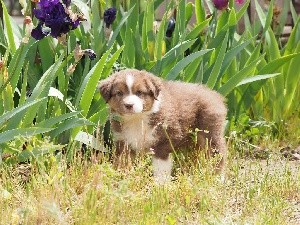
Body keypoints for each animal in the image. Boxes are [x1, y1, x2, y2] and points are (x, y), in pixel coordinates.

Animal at [98, 68, 227, 183]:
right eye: (119, 93)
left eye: (139, 92)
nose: (129, 105)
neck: (137, 119)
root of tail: (214, 94)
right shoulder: (123, 142)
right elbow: (123, 163)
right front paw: (121, 179)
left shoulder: (163, 142)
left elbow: (161, 168)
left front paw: (160, 186)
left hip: (209, 134)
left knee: (218, 155)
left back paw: (218, 179)